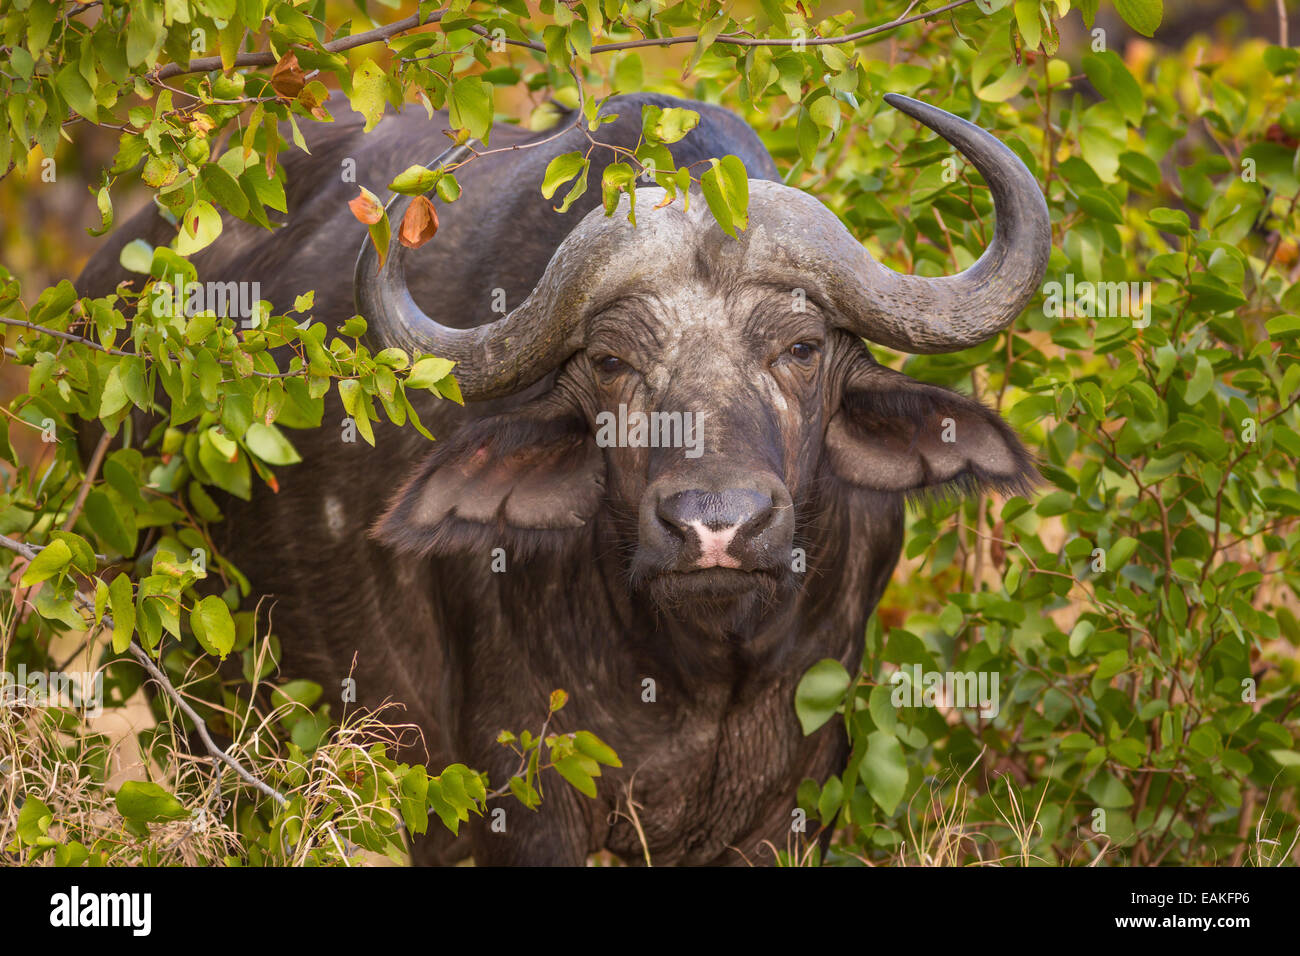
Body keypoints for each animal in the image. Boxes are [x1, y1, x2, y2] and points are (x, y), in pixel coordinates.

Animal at [78, 91, 1048, 865]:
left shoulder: (796, 799)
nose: (717, 527)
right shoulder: (520, 790)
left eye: (803, 348)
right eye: (613, 362)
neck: (704, 663)